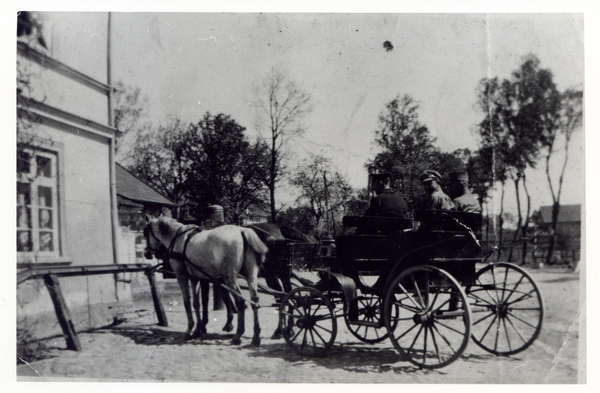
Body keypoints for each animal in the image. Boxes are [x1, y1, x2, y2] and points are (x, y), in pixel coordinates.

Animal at [143, 216, 268, 344]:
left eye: (145, 232)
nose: (146, 253)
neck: (178, 238)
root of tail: (242, 231)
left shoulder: (181, 275)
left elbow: (187, 302)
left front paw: (189, 330)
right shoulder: (194, 277)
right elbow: (196, 303)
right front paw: (197, 330)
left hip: (230, 278)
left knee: (240, 302)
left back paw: (238, 335)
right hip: (250, 275)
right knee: (255, 300)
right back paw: (256, 336)